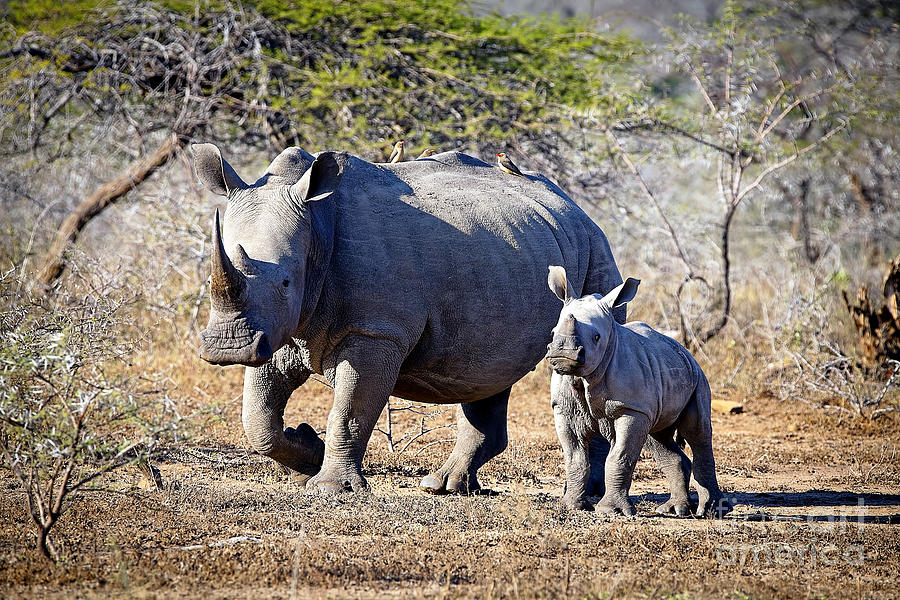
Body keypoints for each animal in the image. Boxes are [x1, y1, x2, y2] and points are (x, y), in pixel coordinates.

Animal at [192, 144, 624, 492]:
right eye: (209, 276)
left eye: (285, 281)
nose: (228, 348)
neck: (316, 223)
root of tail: (572, 204)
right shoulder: (277, 329)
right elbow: (258, 419)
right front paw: (307, 452)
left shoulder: (377, 332)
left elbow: (349, 412)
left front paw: (330, 488)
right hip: (516, 251)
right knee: (487, 373)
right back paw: (445, 486)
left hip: (594, 249)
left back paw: (590, 494)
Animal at [544, 264, 728, 516]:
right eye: (553, 332)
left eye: (597, 337)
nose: (564, 354)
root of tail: (685, 350)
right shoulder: (564, 409)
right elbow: (575, 458)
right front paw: (572, 506)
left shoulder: (630, 408)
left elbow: (620, 457)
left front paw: (610, 511)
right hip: (665, 375)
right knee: (657, 437)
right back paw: (674, 510)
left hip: (698, 377)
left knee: (697, 432)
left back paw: (710, 511)